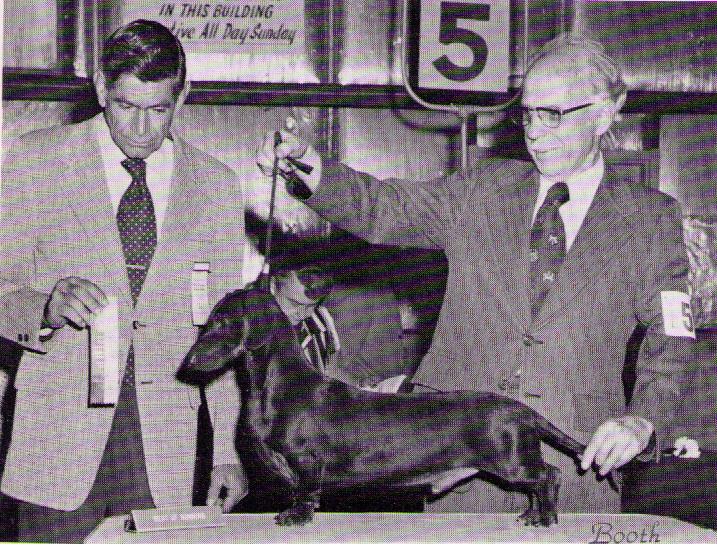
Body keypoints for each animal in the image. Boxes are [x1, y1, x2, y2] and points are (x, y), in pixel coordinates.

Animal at [177, 286, 585, 527]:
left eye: (219, 322)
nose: (188, 364)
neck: (278, 386)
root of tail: (522, 410)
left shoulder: (307, 460)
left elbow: (306, 492)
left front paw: (296, 517)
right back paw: (530, 512)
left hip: (511, 460)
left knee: (549, 476)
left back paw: (545, 517)